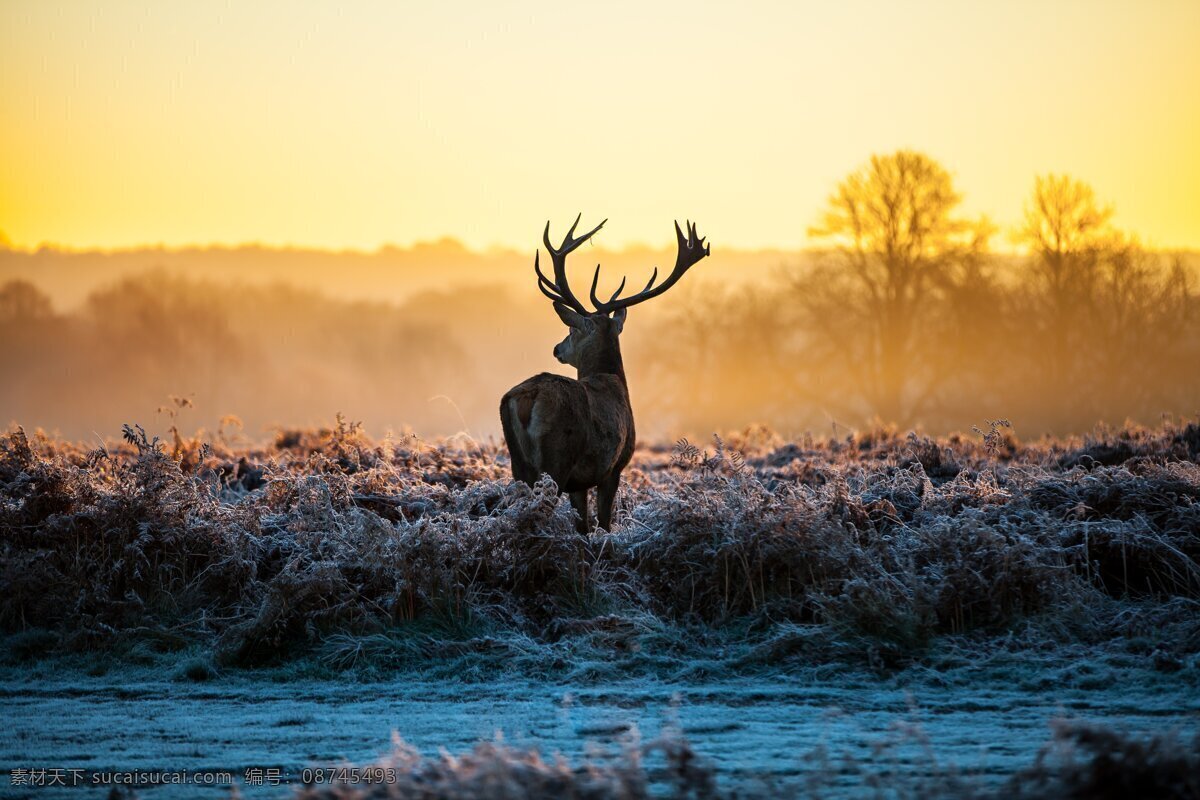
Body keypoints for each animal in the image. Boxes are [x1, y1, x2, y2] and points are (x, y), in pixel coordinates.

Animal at [500, 215, 710, 533]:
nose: (557, 348)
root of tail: (527, 397)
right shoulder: (614, 466)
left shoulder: (580, 482)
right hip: (557, 458)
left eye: (571, 329)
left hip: (519, 464)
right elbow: (604, 523)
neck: (613, 381)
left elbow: (583, 525)